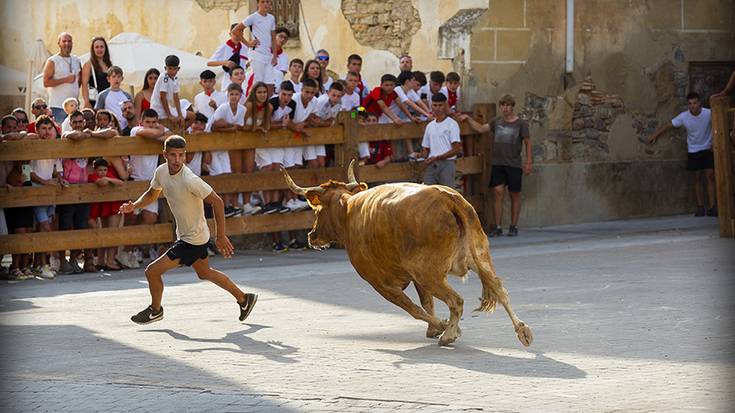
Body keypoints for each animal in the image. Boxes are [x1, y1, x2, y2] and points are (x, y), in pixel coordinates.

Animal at [284, 159, 536, 346]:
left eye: (317, 209)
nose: (311, 236)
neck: (348, 210)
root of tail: (447, 198)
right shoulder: (414, 278)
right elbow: (426, 303)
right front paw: (435, 328)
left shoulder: (381, 283)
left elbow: (414, 309)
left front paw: (442, 327)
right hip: (478, 257)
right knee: (500, 289)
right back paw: (522, 331)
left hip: (429, 273)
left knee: (456, 300)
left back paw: (448, 335)